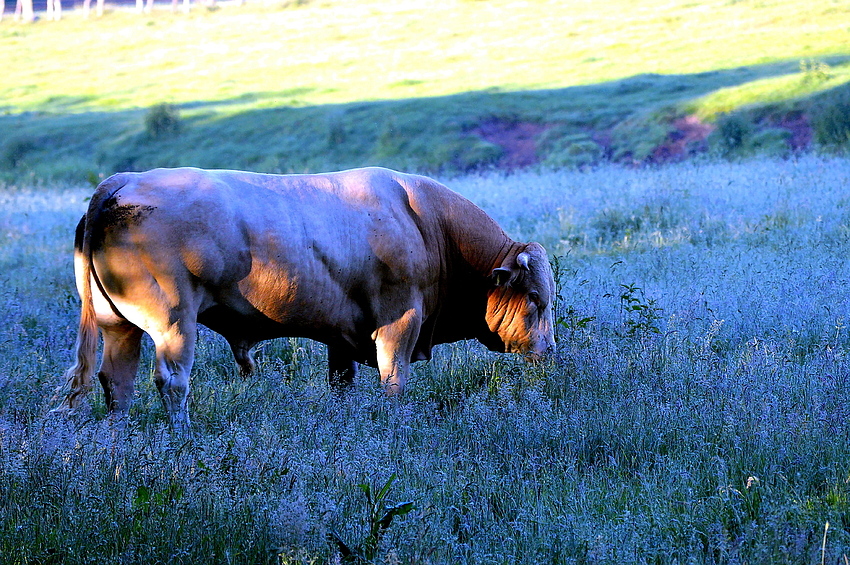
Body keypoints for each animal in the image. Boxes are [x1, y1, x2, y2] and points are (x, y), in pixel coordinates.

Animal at [58, 167, 548, 428]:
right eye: (537, 300)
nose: (549, 353)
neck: (428, 224)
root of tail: (124, 181)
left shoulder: (342, 336)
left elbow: (342, 382)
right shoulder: (399, 322)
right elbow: (394, 381)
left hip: (118, 326)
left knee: (116, 381)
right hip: (174, 323)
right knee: (172, 381)